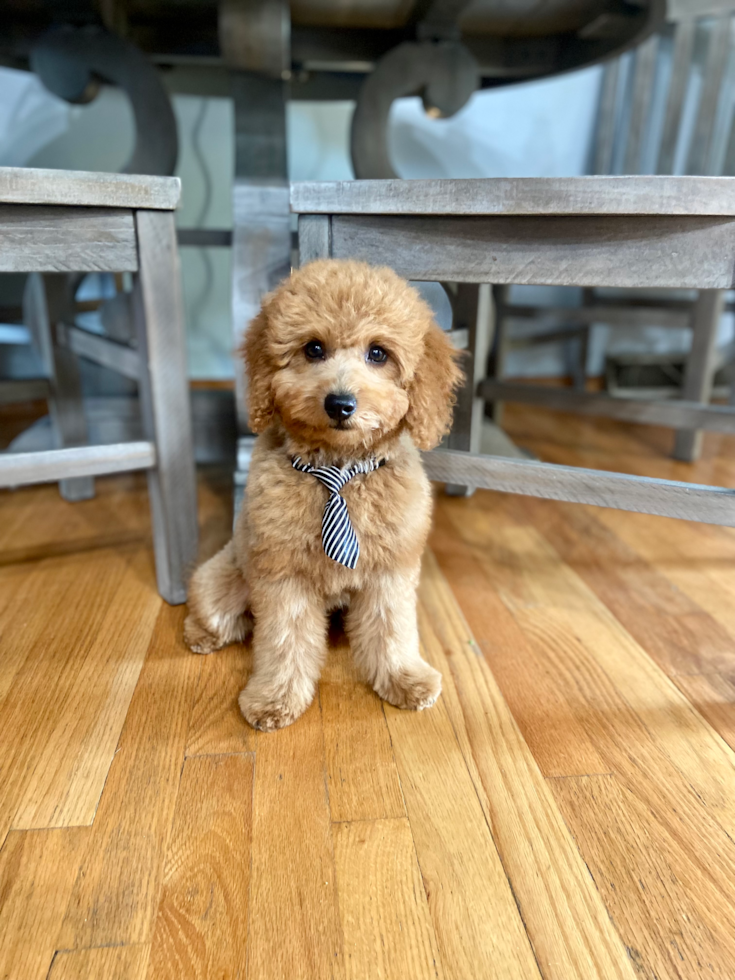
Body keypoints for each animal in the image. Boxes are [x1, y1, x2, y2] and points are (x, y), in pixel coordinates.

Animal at [183, 256, 460, 732]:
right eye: (313, 349)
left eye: (378, 353)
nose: (340, 403)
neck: (339, 472)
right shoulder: (284, 576)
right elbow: (284, 640)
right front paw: (276, 698)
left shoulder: (390, 571)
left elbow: (392, 628)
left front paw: (403, 678)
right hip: (225, 579)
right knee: (214, 611)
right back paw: (199, 634)